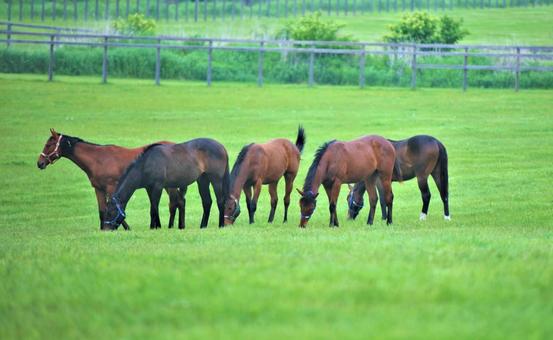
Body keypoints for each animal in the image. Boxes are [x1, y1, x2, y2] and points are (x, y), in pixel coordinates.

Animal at [37, 129, 183, 230]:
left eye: (49, 144)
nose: (40, 163)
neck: (99, 159)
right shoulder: (99, 189)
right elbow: (102, 210)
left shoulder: (111, 187)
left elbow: (114, 207)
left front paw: (124, 227)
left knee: (174, 202)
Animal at [102, 138, 230, 231]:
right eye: (106, 212)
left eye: (110, 212)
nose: (105, 229)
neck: (146, 163)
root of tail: (221, 146)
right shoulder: (149, 188)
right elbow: (153, 207)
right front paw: (155, 226)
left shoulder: (158, 187)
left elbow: (154, 208)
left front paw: (155, 227)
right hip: (202, 181)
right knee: (207, 202)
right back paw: (203, 226)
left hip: (216, 180)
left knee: (220, 201)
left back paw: (221, 225)